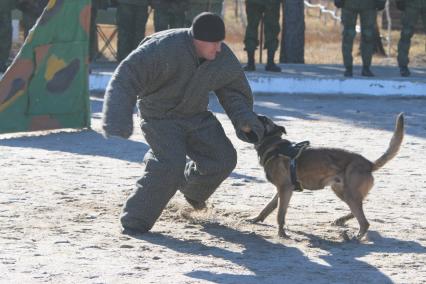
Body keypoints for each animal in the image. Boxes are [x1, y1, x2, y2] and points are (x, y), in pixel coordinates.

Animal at [246, 113, 402, 240]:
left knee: (364, 222)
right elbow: (268, 207)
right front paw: (256, 219)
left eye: (263, 119)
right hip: (341, 191)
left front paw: (282, 234)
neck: (274, 145)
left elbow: (280, 214)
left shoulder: (285, 189)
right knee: (358, 212)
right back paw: (341, 221)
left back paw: (354, 238)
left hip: (349, 194)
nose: (255, 114)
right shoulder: (282, 191)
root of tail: (369, 163)